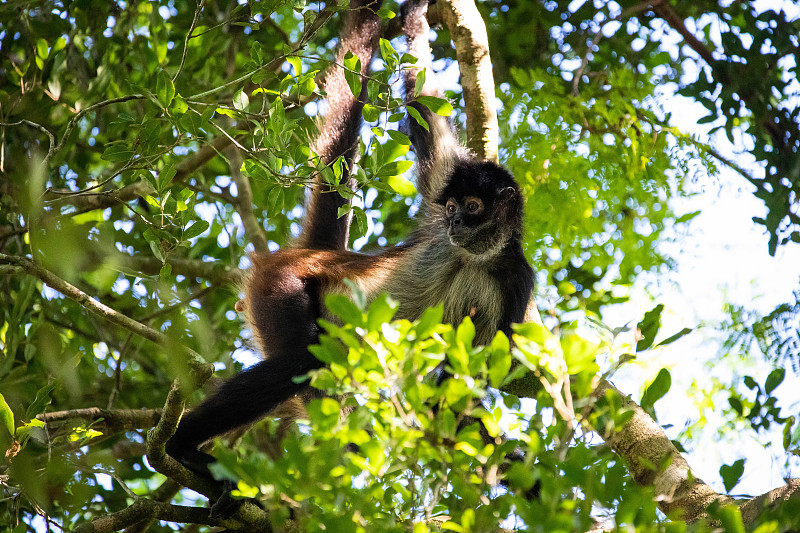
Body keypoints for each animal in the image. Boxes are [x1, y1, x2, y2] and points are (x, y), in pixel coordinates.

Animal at [166, 0, 536, 482]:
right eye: (455, 207)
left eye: (472, 207)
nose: (456, 222)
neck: (474, 258)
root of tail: (318, 253)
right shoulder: (440, 206)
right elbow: (424, 107)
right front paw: (416, 13)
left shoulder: (514, 284)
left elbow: (462, 382)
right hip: (281, 286)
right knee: (298, 361)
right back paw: (180, 444)